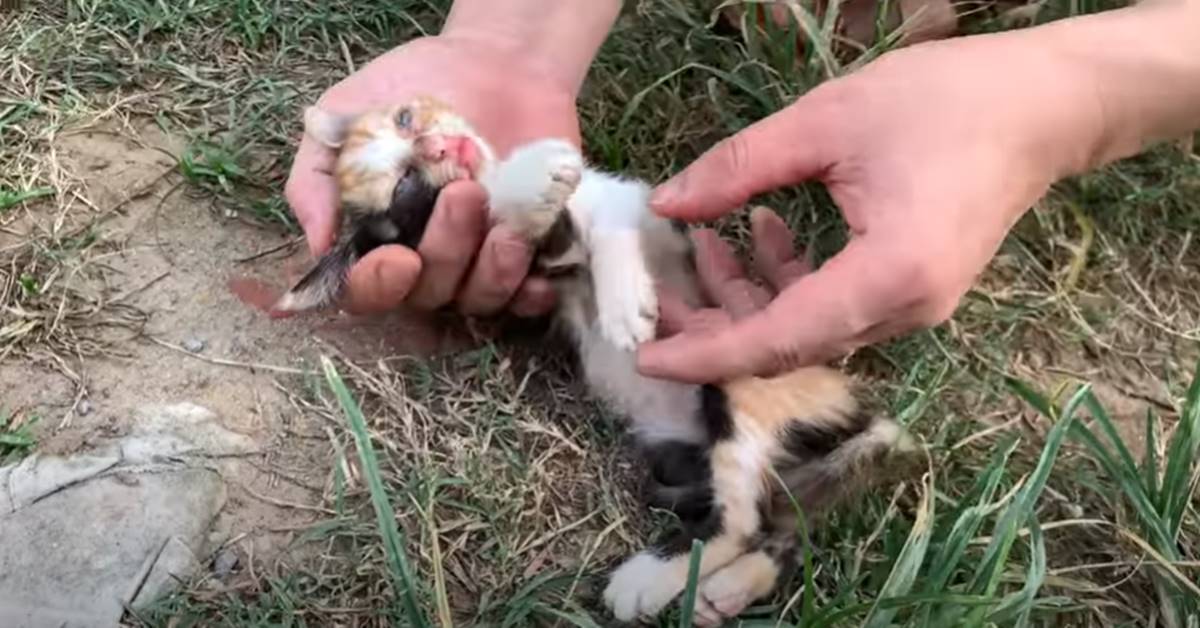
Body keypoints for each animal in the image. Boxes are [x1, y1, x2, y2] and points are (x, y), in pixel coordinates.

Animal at [272, 96, 907, 624]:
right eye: (406, 191)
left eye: (405, 120)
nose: (439, 146)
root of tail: (858, 410)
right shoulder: (547, 261)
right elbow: (546, 225)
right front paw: (535, 194)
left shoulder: (635, 206)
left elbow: (604, 219)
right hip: (707, 422)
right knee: (753, 517)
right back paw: (663, 582)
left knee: (783, 514)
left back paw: (714, 586)